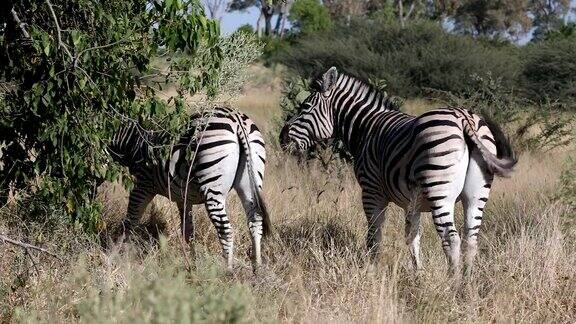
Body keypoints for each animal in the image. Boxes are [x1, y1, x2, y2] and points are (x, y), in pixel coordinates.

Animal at [108, 105, 270, 270]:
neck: (134, 143)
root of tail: (236, 118)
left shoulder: (143, 184)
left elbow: (130, 221)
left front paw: (120, 255)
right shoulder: (183, 197)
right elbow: (188, 230)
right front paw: (192, 264)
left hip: (212, 187)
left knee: (226, 230)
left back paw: (228, 270)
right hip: (250, 180)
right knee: (255, 221)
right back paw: (257, 267)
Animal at [276, 67, 516, 274]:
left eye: (305, 107)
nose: (281, 138)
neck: (365, 128)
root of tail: (464, 117)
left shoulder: (371, 191)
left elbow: (374, 235)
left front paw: (372, 269)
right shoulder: (413, 201)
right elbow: (412, 236)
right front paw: (418, 273)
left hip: (440, 190)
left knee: (451, 238)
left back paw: (453, 285)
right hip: (476, 194)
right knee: (471, 239)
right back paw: (466, 284)